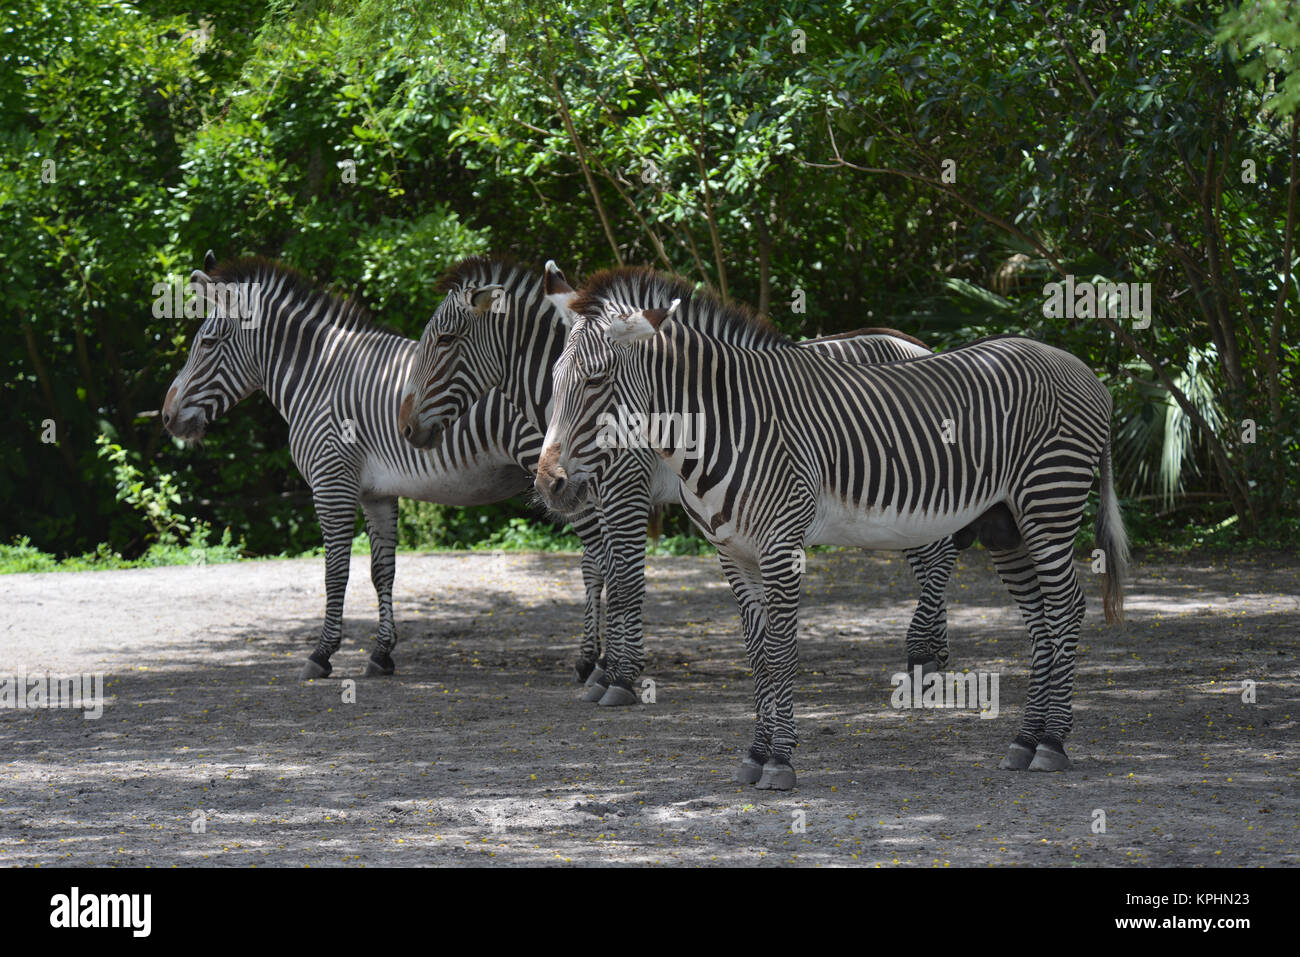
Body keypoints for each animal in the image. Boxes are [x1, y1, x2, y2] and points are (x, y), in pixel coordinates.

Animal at [162, 252, 608, 681]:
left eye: (208, 343)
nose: (166, 418)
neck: (318, 378)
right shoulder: (375, 493)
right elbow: (382, 572)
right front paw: (380, 654)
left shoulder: (331, 483)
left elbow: (335, 571)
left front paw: (322, 654)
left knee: (595, 559)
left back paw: (590, 662)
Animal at [395, 257, 977, 707]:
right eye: (558, 375)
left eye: (444, 339)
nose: (405, 428)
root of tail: (919, 347)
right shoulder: (601, 493)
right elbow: (601, 571)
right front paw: (601, 667)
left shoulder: (625, 489)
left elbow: (625, 579)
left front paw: (619, 679)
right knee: (935, 556)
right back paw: (932, 659)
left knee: (940, 556)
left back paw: (925, 660)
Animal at [535, 267, 1128, 785]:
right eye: (554, 380)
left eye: (596, 381)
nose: (548, 484)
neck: (722, 427)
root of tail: (1082, 368)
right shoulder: (734, 554)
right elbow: (757, 654)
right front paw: (755, 755)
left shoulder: (781, 545)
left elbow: (780, 651)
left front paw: (779, 761)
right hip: (1006, 525)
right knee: (1041, 619)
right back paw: (1026, 740)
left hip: (1049, 503)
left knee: (1066, 608)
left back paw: (1051, 742)